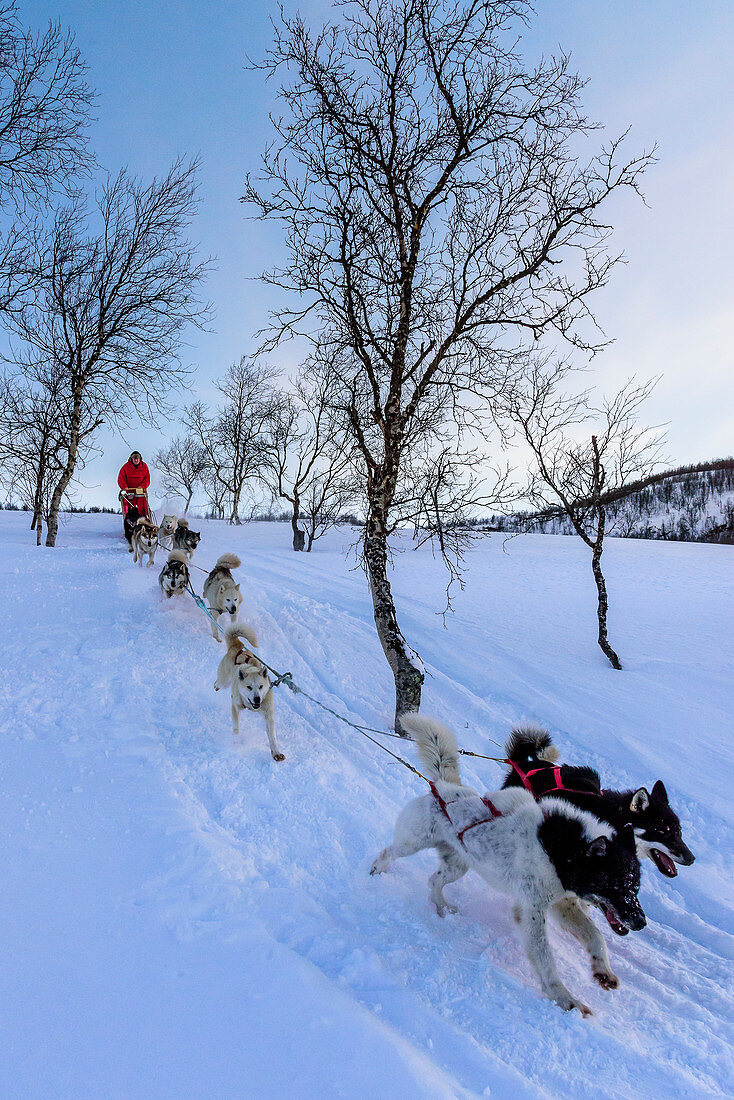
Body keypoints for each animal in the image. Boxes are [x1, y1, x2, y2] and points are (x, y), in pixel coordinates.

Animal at [213, 624, 283, 761]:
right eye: (249, 687)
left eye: (261, 686)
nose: (257, 699)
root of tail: (237, 647)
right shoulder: (235, 708)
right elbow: (236, 729)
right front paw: (236, 742)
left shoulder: (268, 715)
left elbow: (272, 736)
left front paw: (276, 752)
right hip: (224, 681)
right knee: (216, 684)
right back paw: (216, 687)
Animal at [369, 712, 647, 1012]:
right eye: (616, 886)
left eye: (635, 888)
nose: (641, 922)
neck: (564, 850)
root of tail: (445, 787)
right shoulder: (532, 910)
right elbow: (547, 960)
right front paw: (564, 998)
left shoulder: (563, 904)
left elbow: (595, 936)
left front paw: (602, 971)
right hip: (412, 843)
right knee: (388, 853)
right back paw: (375, 872)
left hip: (458, 865)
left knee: (434, 880)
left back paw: (441, 907)